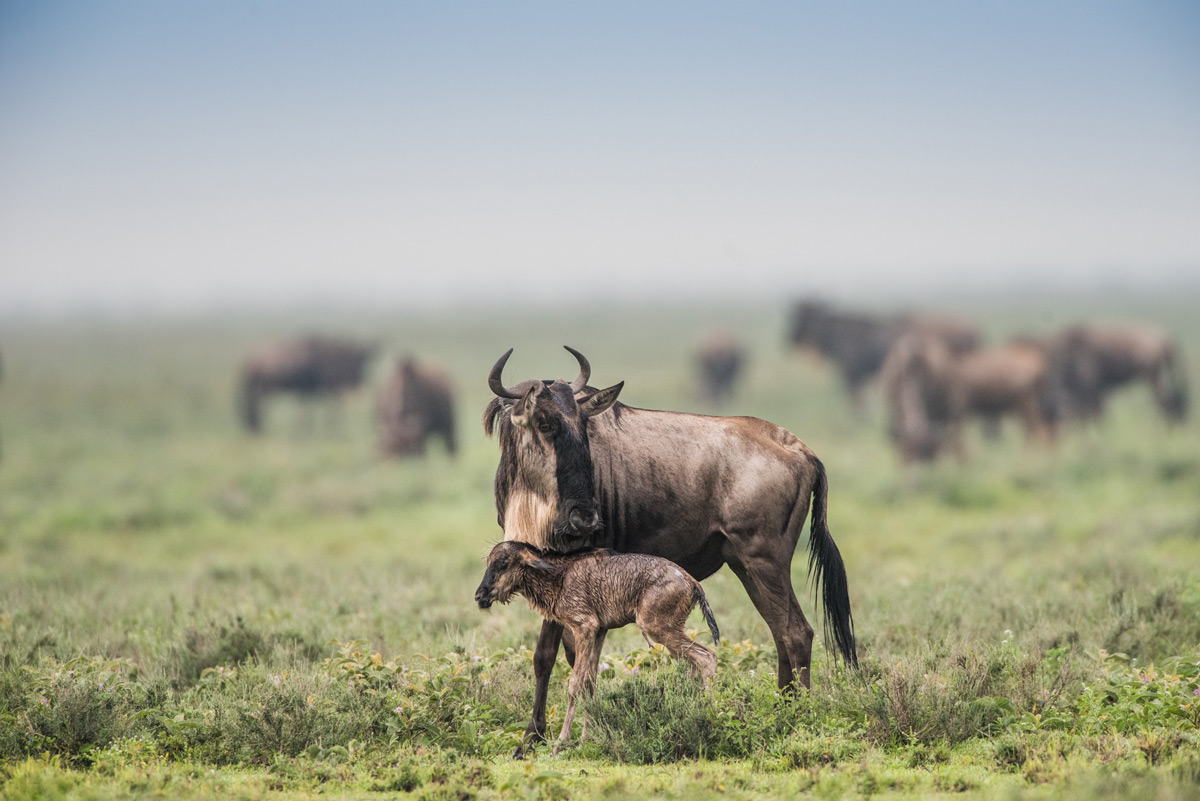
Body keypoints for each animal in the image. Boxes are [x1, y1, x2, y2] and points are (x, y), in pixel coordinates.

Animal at [475, 541, 720, 753]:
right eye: (488, 562)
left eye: (503, 564)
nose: (479, 595)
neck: (559, 575)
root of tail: (692, 582)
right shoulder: (599, 631)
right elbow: (589, 682)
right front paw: (587, 739)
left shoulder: (584, 627)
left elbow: (575, 683)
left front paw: (561, 743)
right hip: (668, 633)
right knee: (693, 666)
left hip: (658, 628)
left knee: (707, 657)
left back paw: (711, 715)